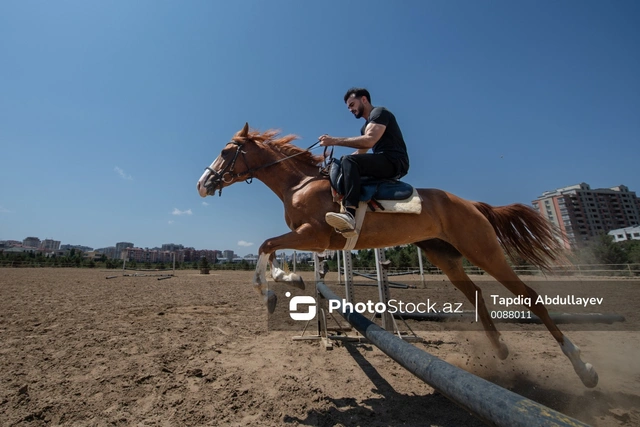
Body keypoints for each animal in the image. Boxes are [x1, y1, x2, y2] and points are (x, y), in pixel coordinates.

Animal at [196, 123, 600, 388]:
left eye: (227, 151)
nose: (202, 184)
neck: (299, 183)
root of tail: (471, 204)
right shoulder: (312, 240)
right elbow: (272, 248)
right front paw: (289, 278)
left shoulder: (315, 234)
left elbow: (266, 244)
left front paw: (271, 291)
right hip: (445, 257)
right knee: (476, 294)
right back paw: (500, 349)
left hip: (482, 250)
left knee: (529, 297)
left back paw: (585, 369)